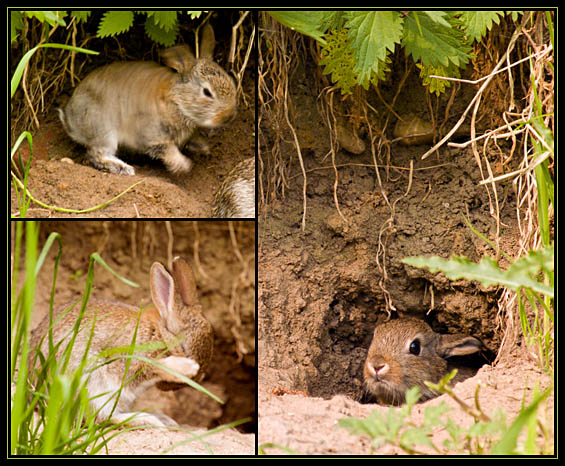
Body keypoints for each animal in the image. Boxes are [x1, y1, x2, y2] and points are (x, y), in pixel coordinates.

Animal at [29, 256, 214, 428]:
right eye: (183, 349)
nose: (170, 388)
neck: (159, 332)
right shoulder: (128, 359)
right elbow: (152, 366)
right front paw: (186, 367)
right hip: (89, 382)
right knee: (99, 418)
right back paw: (148, 419)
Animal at [59, 24, 238, 177]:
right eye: (207, 92)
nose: (228, 116)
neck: (178, 102)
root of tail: (70, 119)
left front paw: (204, 148)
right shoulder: (153, 135)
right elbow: (166, 149)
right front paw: (182, 165)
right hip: (103, 129)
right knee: (97, 154)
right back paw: (124, 168)